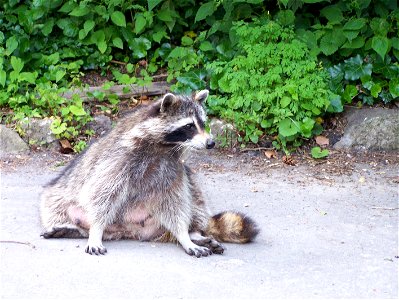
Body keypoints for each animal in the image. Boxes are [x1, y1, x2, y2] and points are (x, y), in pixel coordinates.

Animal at [40, 90, 260, 256]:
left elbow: (175, 201)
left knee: (194, 195)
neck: (165, 146)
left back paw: (195, 232)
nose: (211, 143)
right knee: (53, 202)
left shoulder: (171, 168)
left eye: (203, 123)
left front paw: (184, 235)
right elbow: (102, 193)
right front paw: (95, 230)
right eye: (189, 126)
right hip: (62, 190)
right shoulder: (118, 159)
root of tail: (128, 231)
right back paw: (76, 228)